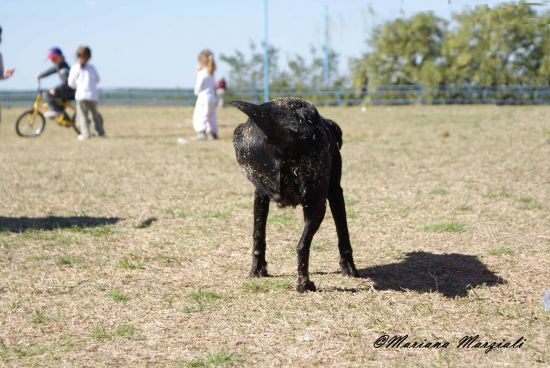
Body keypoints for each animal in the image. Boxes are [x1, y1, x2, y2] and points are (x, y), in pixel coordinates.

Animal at [232, 98, 358, 294]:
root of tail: (287, 129)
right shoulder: (335, 192)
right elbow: (343, 235)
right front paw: (349, 269)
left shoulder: (260, 195)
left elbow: (258, 237)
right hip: (318, 203)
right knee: (302, 247)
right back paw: (305, 284)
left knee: (272, 242)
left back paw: (262, 271)